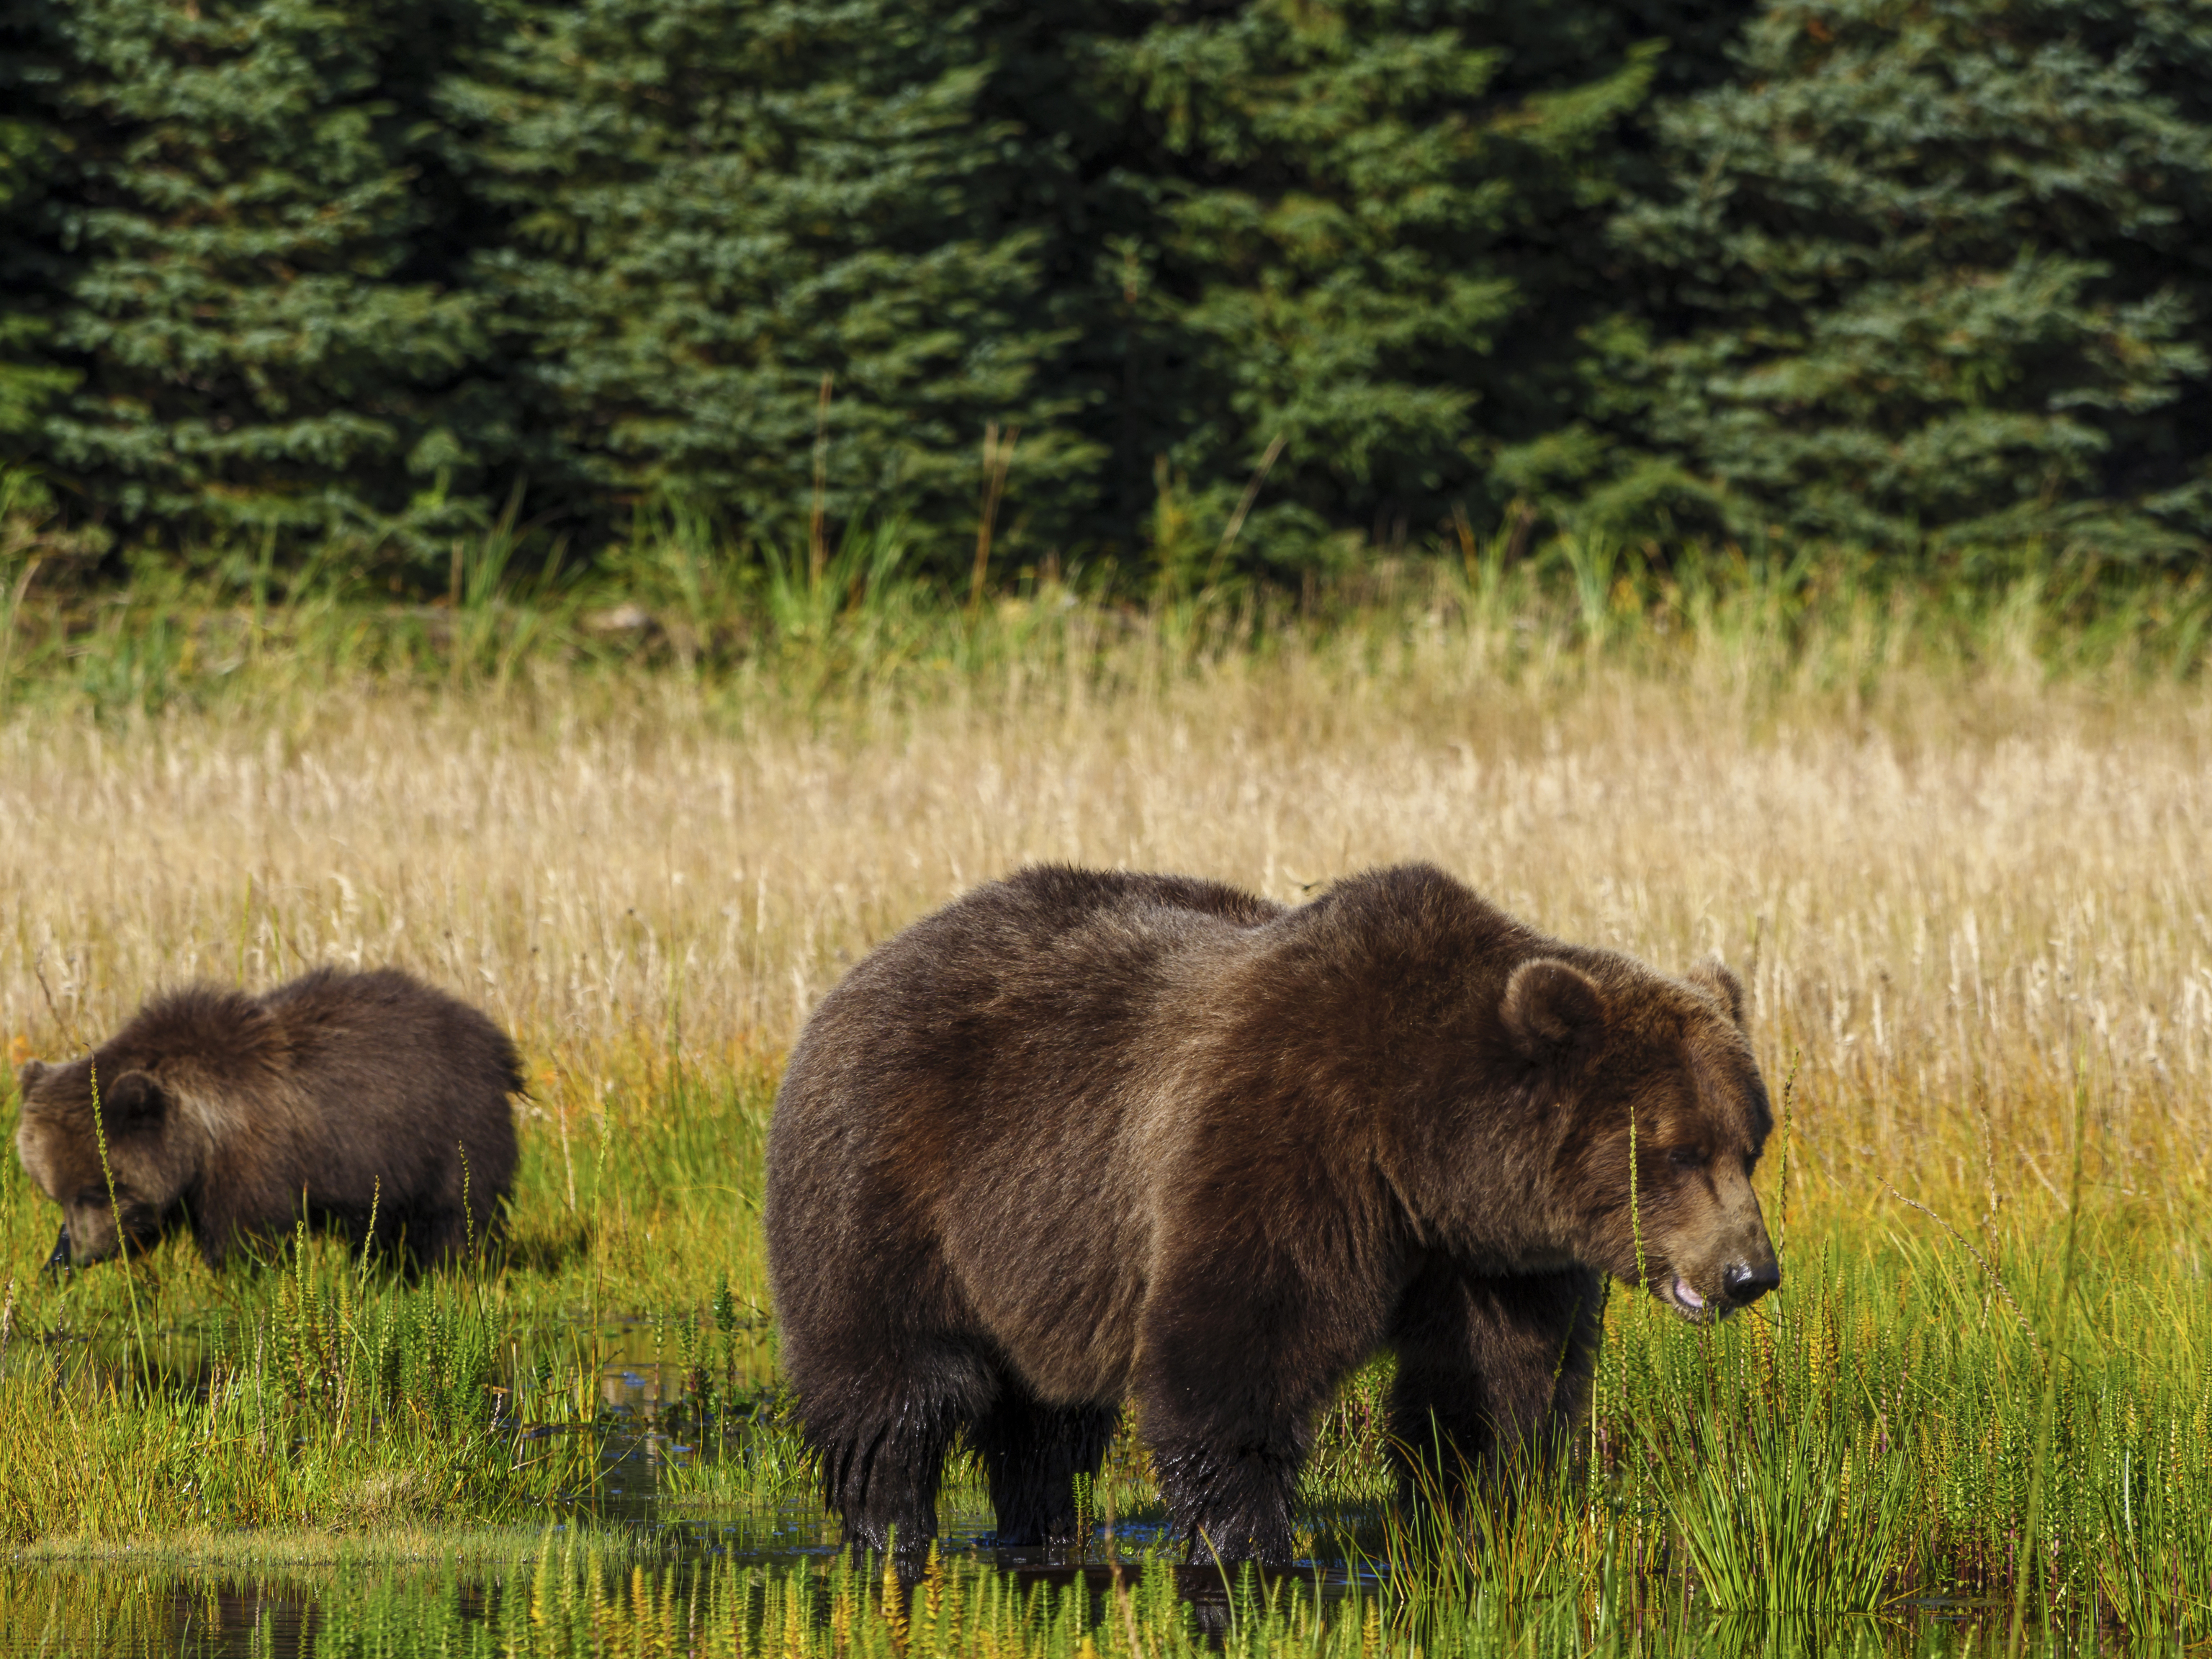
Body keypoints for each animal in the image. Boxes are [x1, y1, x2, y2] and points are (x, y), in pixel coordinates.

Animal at [14, 966, 522, 1272]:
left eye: (98, 1189)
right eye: (54, 1193)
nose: (80, 1254)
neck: (202, 1133)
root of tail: (496, 1042)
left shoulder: (254, 1159)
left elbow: (245, 1239)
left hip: (449, 1131)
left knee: (457, 1214)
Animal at [764, 863, 1780, 1567]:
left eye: (1751, 1143)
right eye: (1678, 1151)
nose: (1750, 1272)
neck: (1421, 1154)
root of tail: (864, 967)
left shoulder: (1494, 1261)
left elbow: (1493, 1392)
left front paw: (1475, 1517)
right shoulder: (1283, 1149)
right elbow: (1233, 1364)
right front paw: (1247, 1542)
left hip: (1038, 1257)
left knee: (1044, 1424)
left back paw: (1042, 1531)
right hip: (888, 1183)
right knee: (899, 1391)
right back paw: (889, 1528)